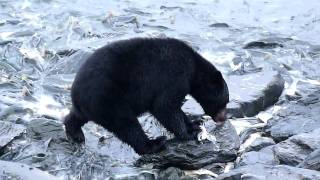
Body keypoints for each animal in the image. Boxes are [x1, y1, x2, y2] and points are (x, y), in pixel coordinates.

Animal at [63, 37, 229, 154]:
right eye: (224, 102)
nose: (224, 118)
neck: (194, 68)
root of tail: (76, 93)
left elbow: (174, 109)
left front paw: (194, 123)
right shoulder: (176, 76)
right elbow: (164, 107)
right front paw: (188, 133)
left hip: (91, 106)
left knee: (77, 116)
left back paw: (75, 133)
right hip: (108, 100)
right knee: (127, 124)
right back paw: (153, 144)